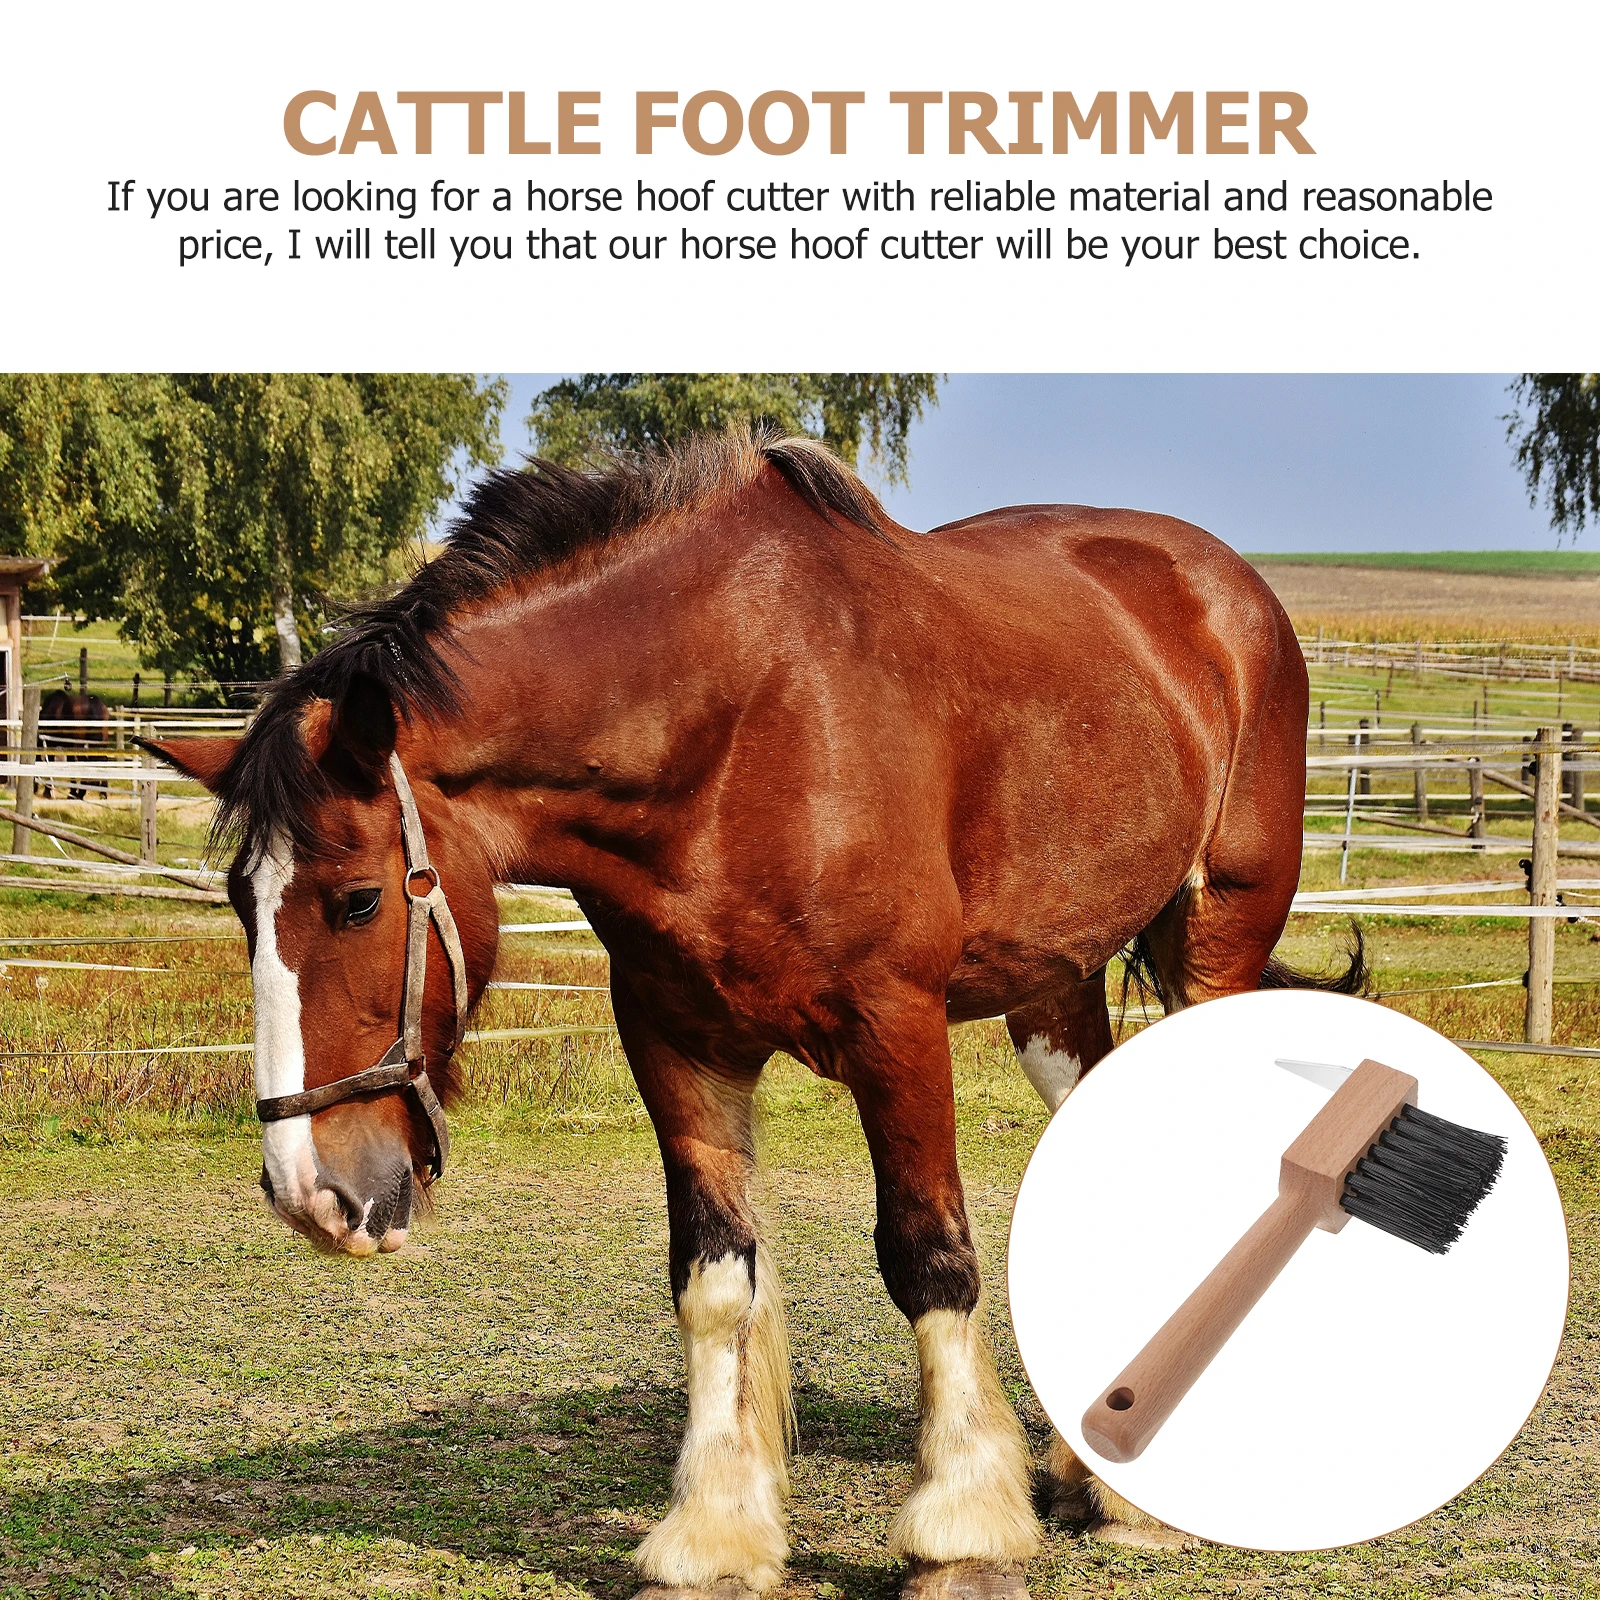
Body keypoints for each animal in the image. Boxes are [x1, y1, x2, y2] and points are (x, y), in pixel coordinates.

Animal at [148, 430, 1363, 1600]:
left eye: (356, 899)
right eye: (240, 904)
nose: (311, 1192)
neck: (733, 727)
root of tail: (1223, 587)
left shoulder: (895, 1026)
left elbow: (930, 1258)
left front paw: (960, 1527)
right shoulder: (678, 1041)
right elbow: (715, 1282)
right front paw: (716, 1531)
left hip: (1213, 946)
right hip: (1051, 987)